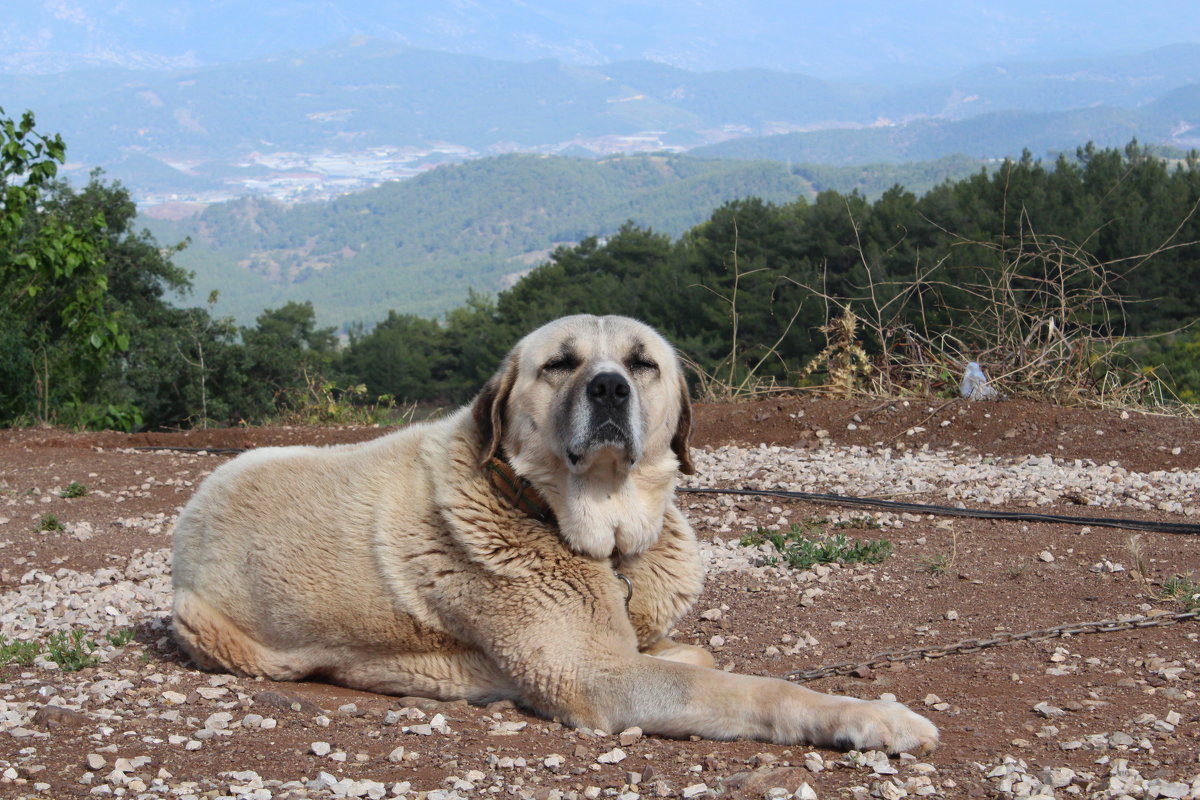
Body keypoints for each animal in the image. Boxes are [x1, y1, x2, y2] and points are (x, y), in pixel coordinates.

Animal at [169, 316, 936, 753]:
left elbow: (699, 655)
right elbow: (755, 689)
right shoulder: (601, 678)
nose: (608, 388)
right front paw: (875, 716)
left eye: (641, 363)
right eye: (559, 364)